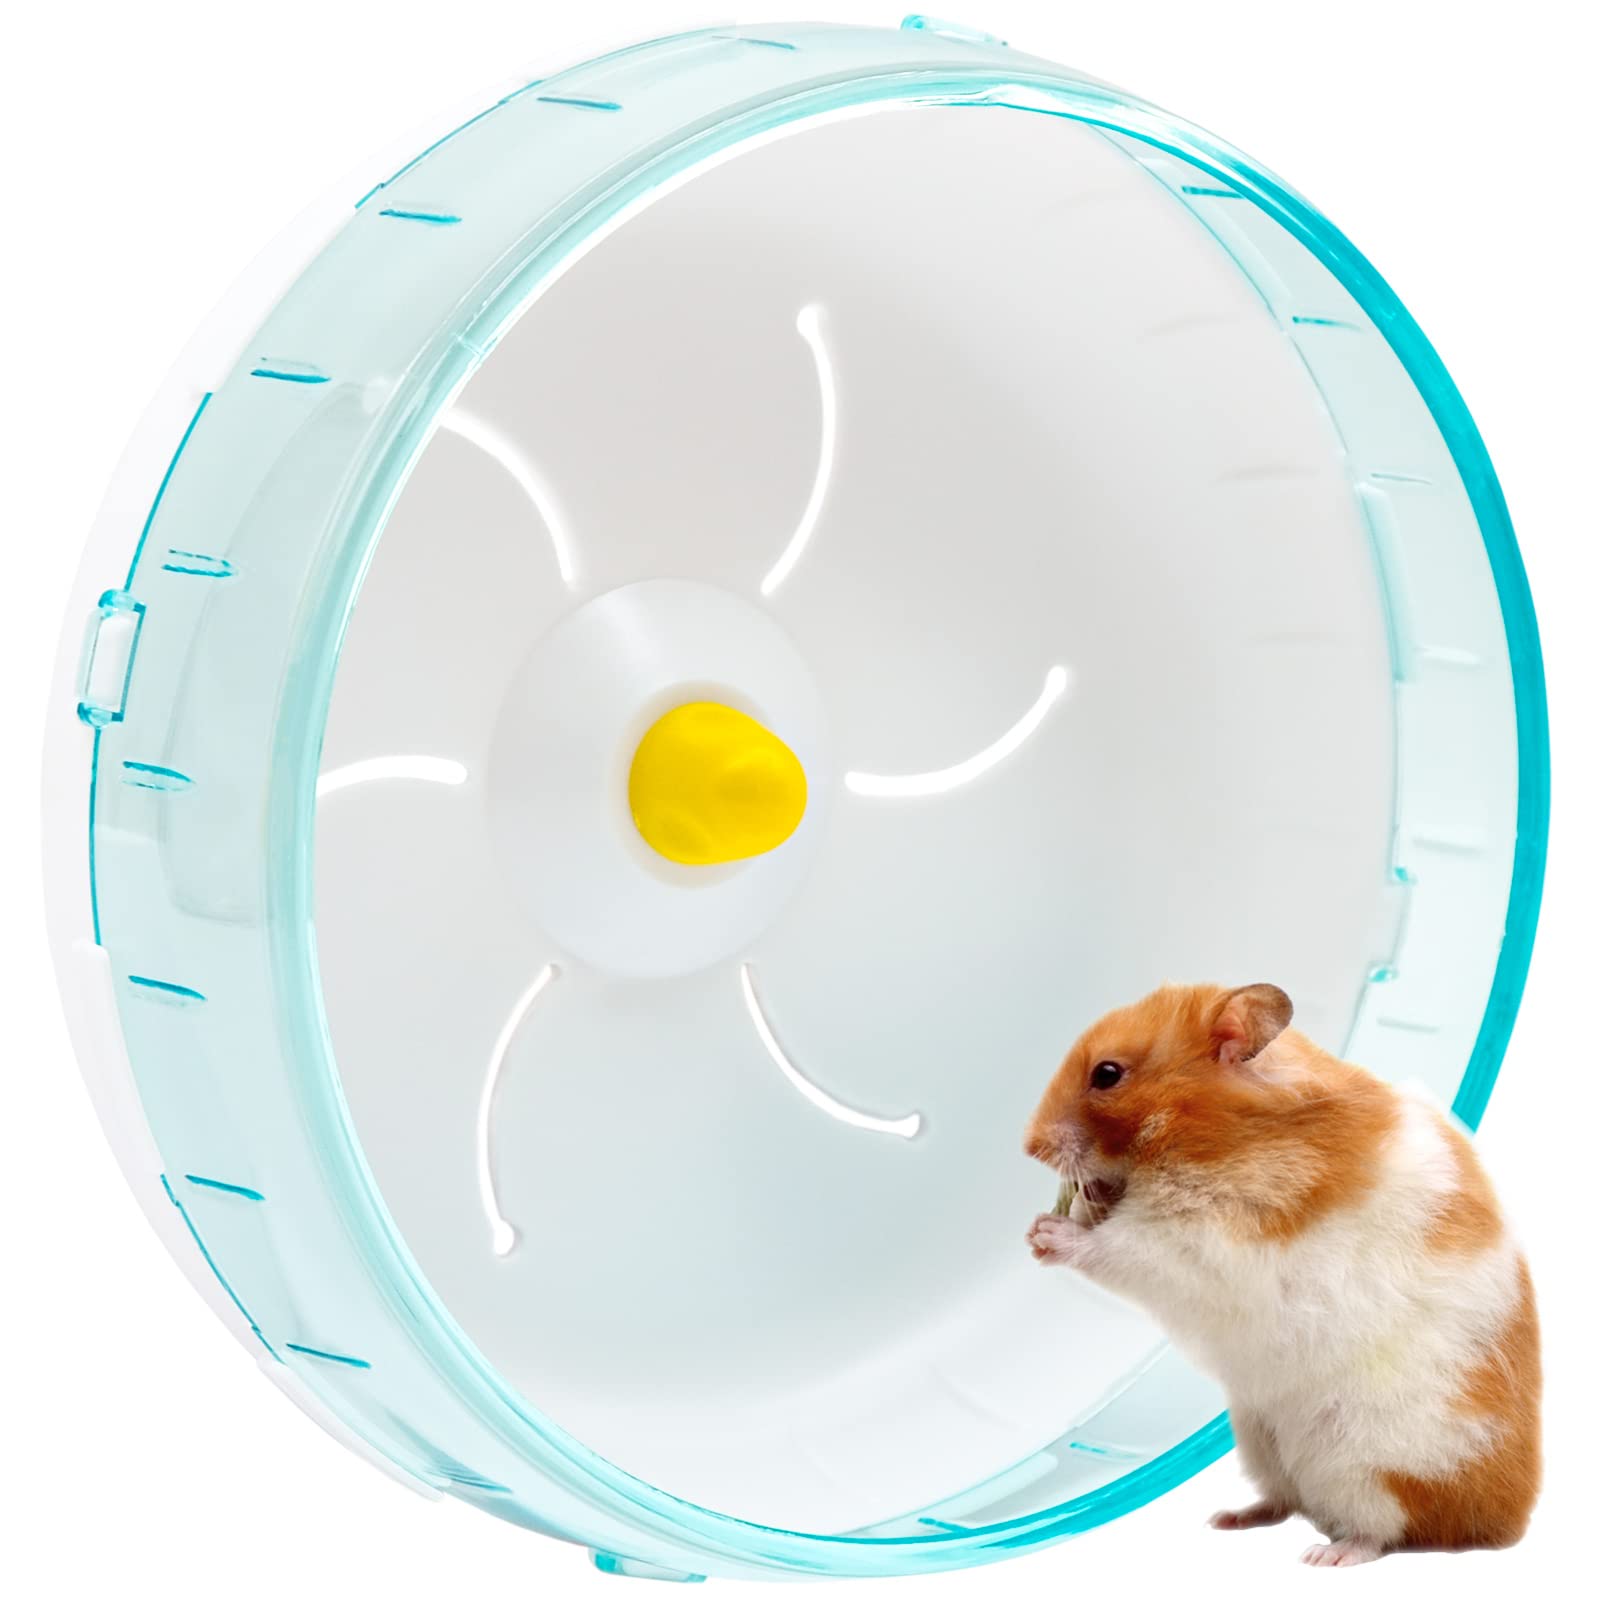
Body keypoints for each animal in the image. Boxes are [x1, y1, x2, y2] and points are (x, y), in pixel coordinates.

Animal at [1023, 982, 1540, 1567]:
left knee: (1385, 1531)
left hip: (1370, 1464)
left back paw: (1327, 1557)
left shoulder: (1196, 1244)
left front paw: (1046, 1235)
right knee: (1284, 1501)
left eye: (1107, 1074)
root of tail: (1501, 1520)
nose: (1029, 1145)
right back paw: (1227, 1519)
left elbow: (1115, 1249)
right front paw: (1058, 1217)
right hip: (1259, 1437)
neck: (1210, 1132)